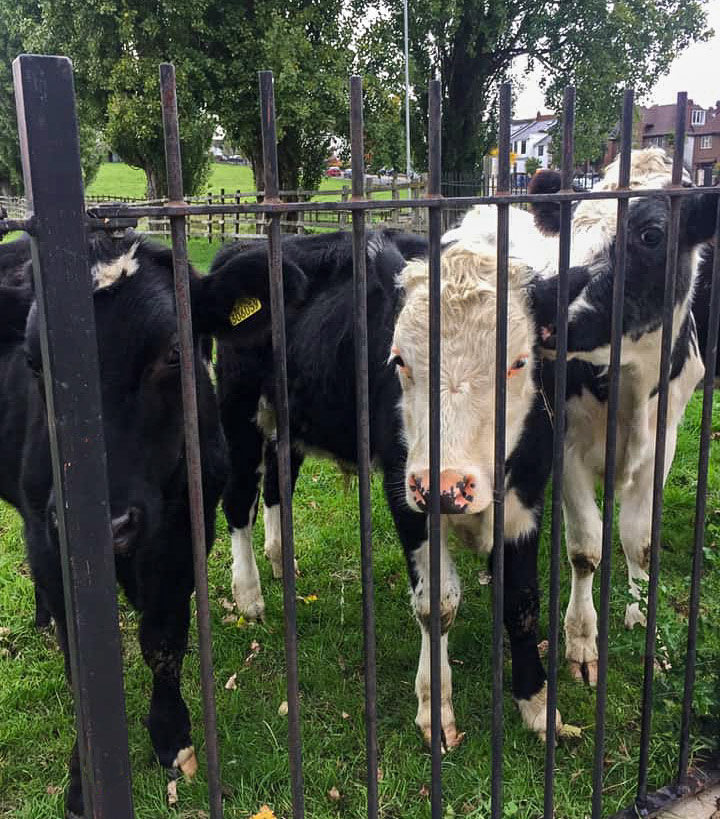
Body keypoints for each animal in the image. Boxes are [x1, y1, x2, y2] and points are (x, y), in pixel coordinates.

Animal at [0, 229, 306, 818]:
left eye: (172, 353)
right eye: (32, 362)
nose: (109, 523)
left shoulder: (185, 531)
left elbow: (163, 639)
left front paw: (171, 736)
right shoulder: (48, 535)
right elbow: (81, 663)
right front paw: (83, 782)